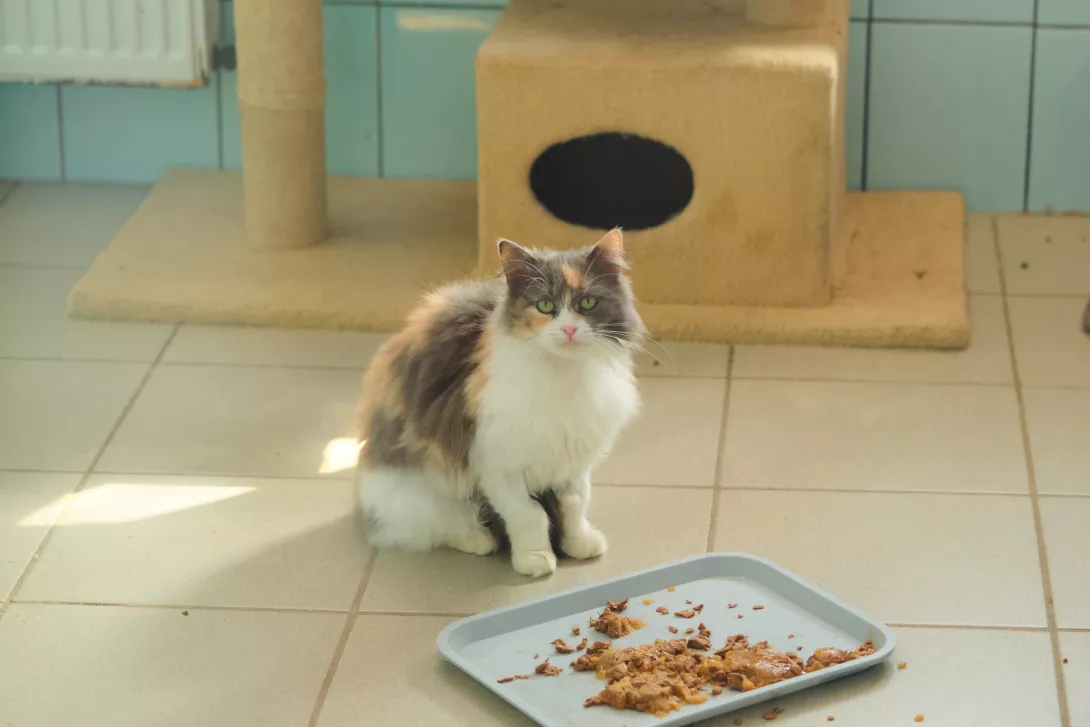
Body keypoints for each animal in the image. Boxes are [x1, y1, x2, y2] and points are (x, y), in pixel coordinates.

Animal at [355, 228, 642, 578]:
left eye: (587, 302)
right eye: (545, 305)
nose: (570, 329)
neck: (565, 375)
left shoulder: (573, 457)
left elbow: (575, 504)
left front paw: (580, 543)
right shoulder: (498, 462)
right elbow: (529, 514)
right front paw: (535, 559)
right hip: (422, 484)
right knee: (435, 525)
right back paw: (478, 539)